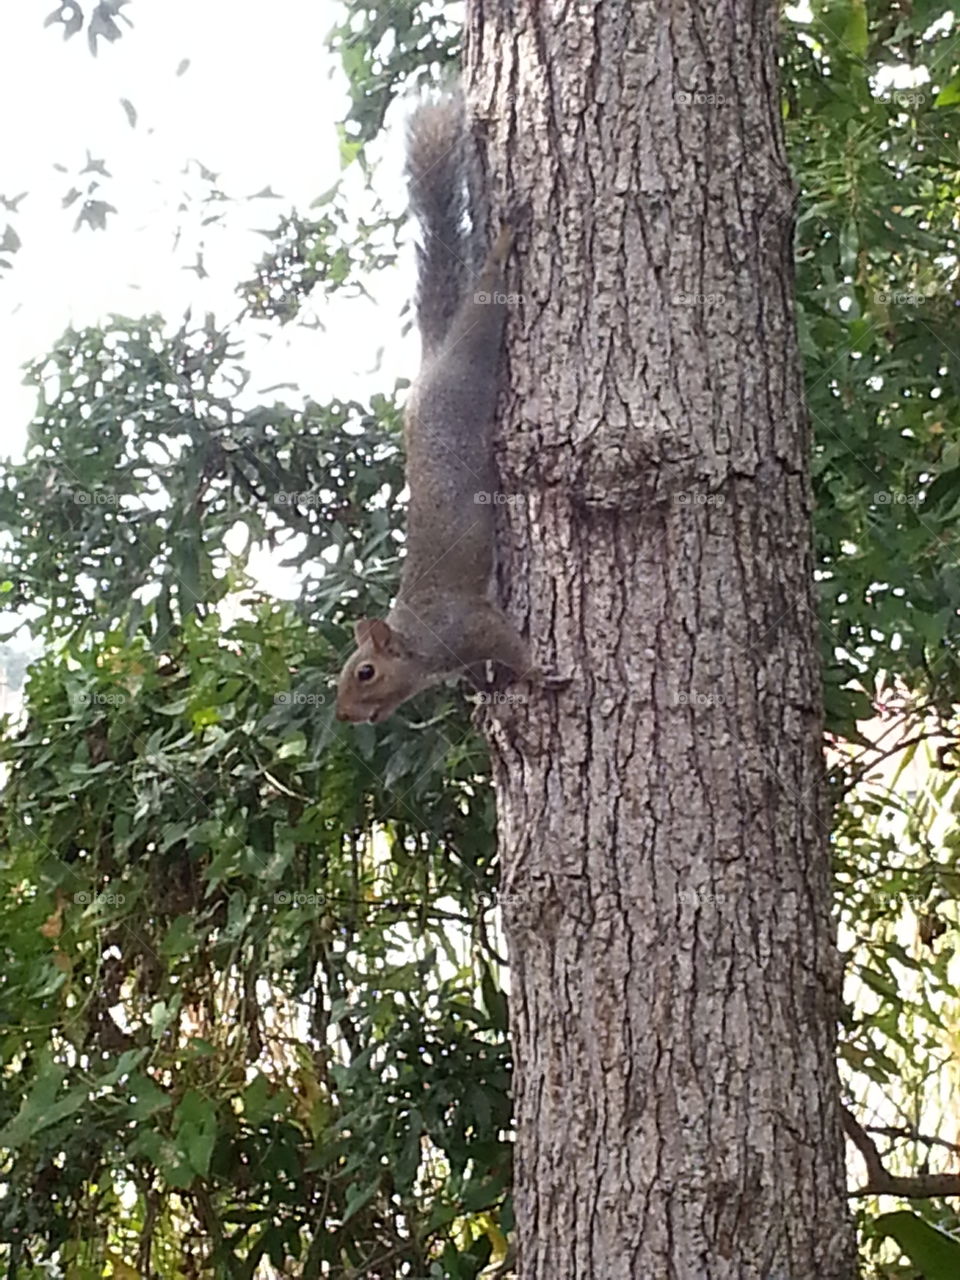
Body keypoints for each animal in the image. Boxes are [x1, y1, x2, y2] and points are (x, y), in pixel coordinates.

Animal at [335, 91, 547, 725]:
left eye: (365, 672)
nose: (344, 715)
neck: (419, 644)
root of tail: (433, 361)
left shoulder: (469, 625)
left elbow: (508, 643)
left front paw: (540, 674)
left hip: (473, 358)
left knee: (486, 301)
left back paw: (503, 243)